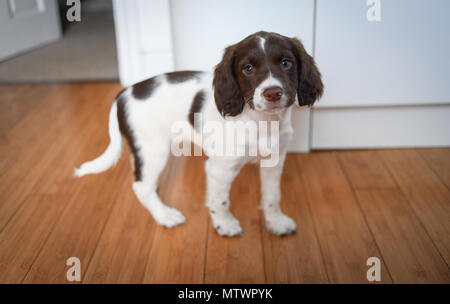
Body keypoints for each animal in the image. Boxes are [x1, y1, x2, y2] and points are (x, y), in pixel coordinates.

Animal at [76, 30, 324, 236]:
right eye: (248, 68)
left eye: (286, 62)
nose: (273, 93)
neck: (261, 121)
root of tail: (124, 93)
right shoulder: (220, 168)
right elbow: (220, 201)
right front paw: (225, 225)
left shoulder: (274, 160)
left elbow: (273, 196)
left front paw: (276, 222)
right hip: (153, 149)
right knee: (140, 186)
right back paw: (165, 215)